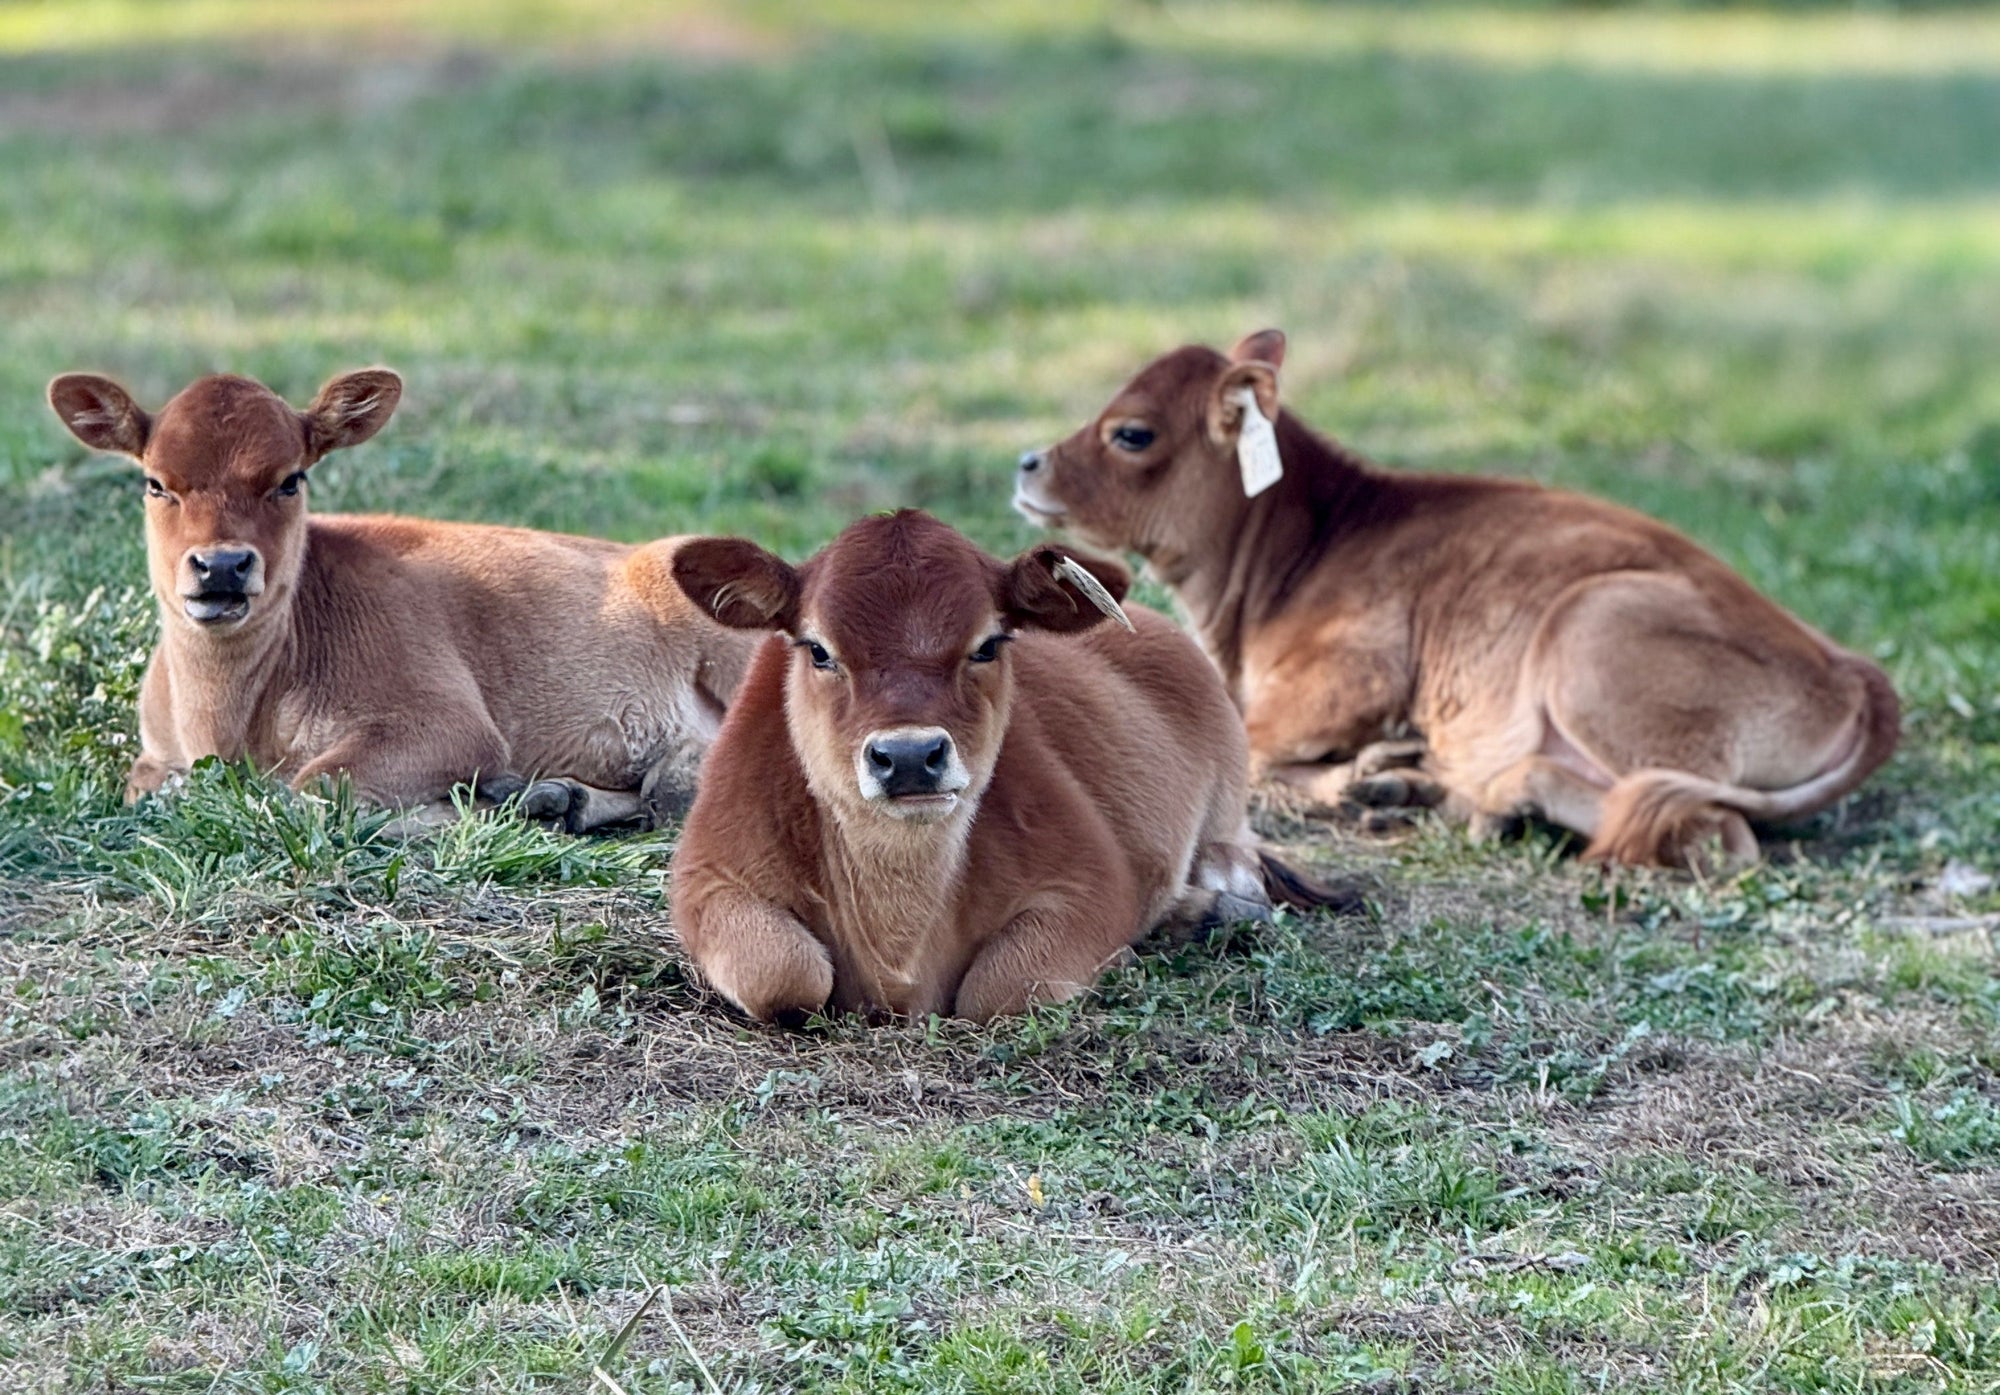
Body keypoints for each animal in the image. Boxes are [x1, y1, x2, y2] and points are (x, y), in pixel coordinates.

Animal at [47, 368, 759, 830]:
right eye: (155, 482)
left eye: (291, 479)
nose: (221, 566)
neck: (228, 720)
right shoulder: (155, 754)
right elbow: (149, 792)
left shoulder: (445, 722)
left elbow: (314, 792)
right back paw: (564, 798)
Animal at [665, 509, 1351, 1024]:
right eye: (818, 649)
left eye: (989, 644)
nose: (909, 757)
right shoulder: (707, 879)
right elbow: (783, 972)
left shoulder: (1090, 882)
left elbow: (999, 988)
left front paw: (1123, 957)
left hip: (1229, 804)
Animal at [1013, 330, 1900, 869]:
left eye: (1131, 432)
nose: (1027, 462)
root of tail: (1854, 671)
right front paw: (1379, 773)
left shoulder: (1349, 677)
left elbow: (1250, 743)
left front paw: (1361, 773)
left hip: (1589, 631)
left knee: (1713, 830)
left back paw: (1471, 797)